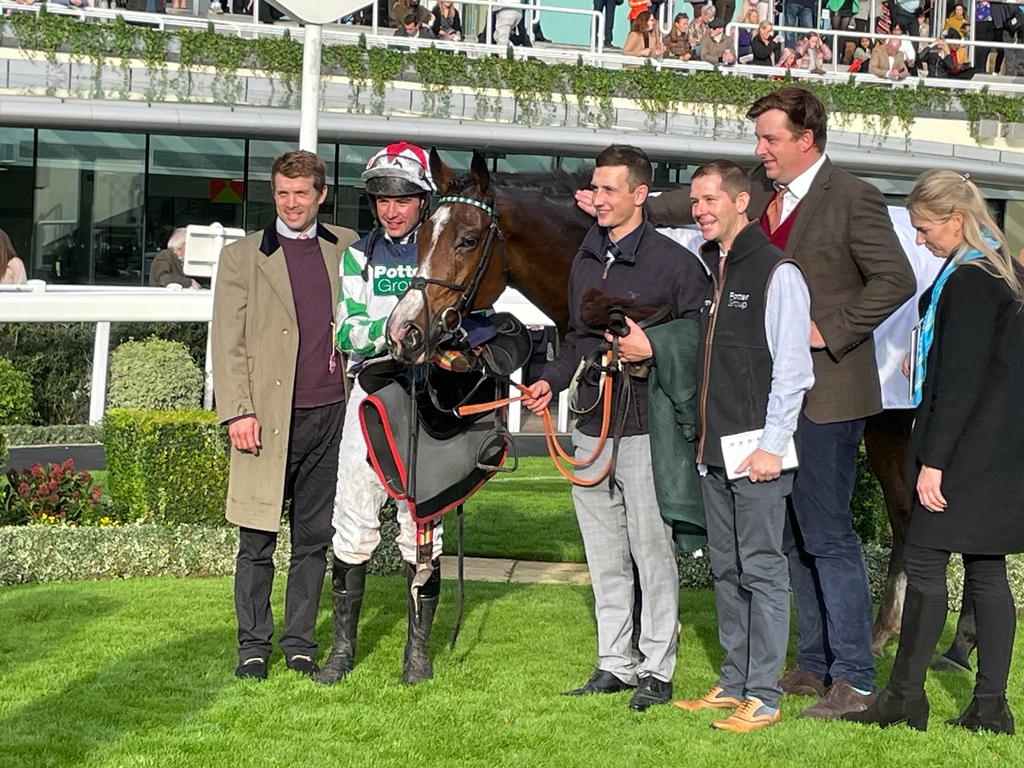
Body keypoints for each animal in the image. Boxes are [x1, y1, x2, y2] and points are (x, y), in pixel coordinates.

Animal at [385, 148, 974, 671]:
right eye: (420, 236)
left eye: (466, 239)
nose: (404, 330)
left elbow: (652, 545)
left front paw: (645, 647)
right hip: (890, 429)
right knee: (907, 520)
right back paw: (909, 638)